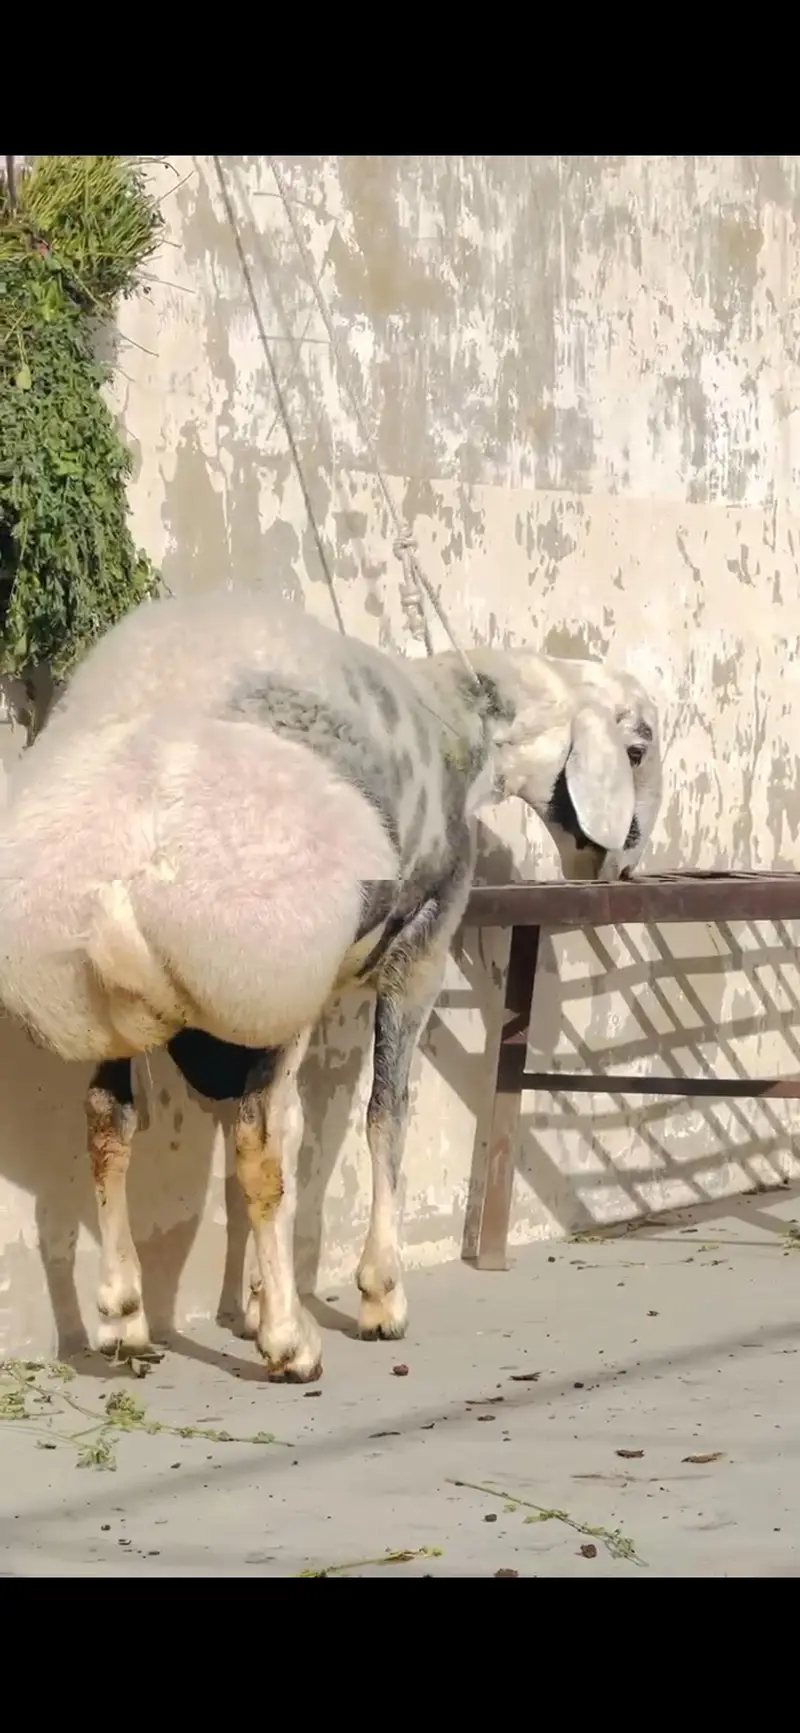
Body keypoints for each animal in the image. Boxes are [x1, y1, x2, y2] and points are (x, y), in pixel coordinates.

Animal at [0, 589, 662, 1382]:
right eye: (637, 749)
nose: (625, 867)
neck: (467, 720)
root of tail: (121, 856)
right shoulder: (422, 944)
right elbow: (384, 1115)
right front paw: (378, 1298)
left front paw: (258, 1298)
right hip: (269, 974)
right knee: (256, 1143)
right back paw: (292, 1345)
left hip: (120, 1005)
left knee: (110, 1124)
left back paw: (126, 1319)